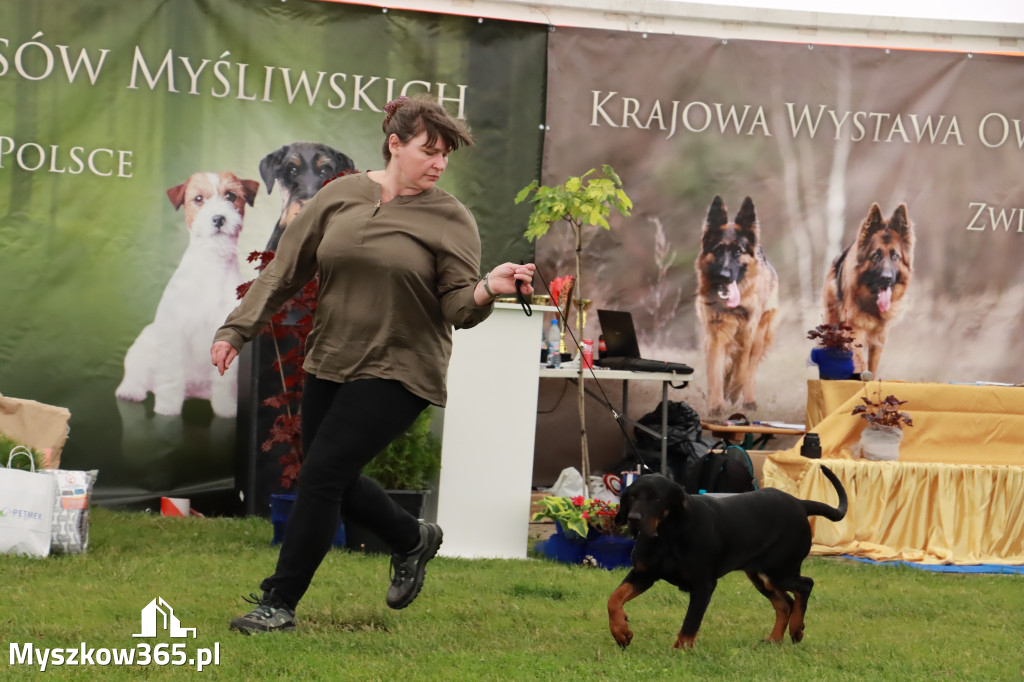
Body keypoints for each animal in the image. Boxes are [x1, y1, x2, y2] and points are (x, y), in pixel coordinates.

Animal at [610, 466, 843, 647]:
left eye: (656, 498)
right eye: (632, 496)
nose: (633, 519)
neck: (667, 536)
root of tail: (800, 503)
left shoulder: (703, 585)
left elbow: (690, 624)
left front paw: (679, 651)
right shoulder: (643, 574)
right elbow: (614, 599)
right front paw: (621, 632)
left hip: (780, 570)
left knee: (805, 585)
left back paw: (796, 629)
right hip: (761, 575)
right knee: (785, 603)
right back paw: (774, 639)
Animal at [696, 195, 774, 413]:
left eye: (738, 252)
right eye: (718, 250)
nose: (723, 275)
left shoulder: (748, 334)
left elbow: (742, 370)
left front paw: (733, 393)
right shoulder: (716, 335)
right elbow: (716, 371)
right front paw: (716, 405)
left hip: (760, 336)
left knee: (749, 369)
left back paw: (747, 400)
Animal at [823, 201, 913, 374]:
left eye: (895, 256)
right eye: (875, 256)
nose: (886, 279)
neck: (871, 304)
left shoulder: (880, 338)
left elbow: (872, 367)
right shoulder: (854, 331)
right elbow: (860, 364)